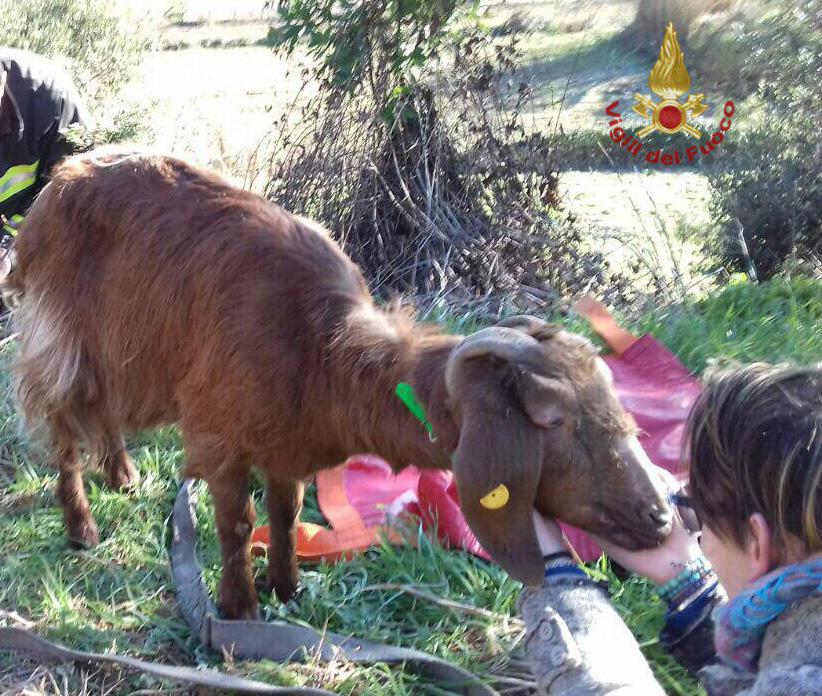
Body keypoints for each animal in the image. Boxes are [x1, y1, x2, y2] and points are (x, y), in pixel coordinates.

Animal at [6, 152, 672, 620]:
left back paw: (122, 474)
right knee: (62, 429)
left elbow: (285, 512)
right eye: (553, 419)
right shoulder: (220, 434)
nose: (662, 516)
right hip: (61, 340)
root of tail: (56, 183)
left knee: (104, 413)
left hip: (122, 353)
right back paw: (81, 528)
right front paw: (239, 608)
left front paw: (289, 588)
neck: (319, 348)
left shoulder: (286, 443)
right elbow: (237, 522)